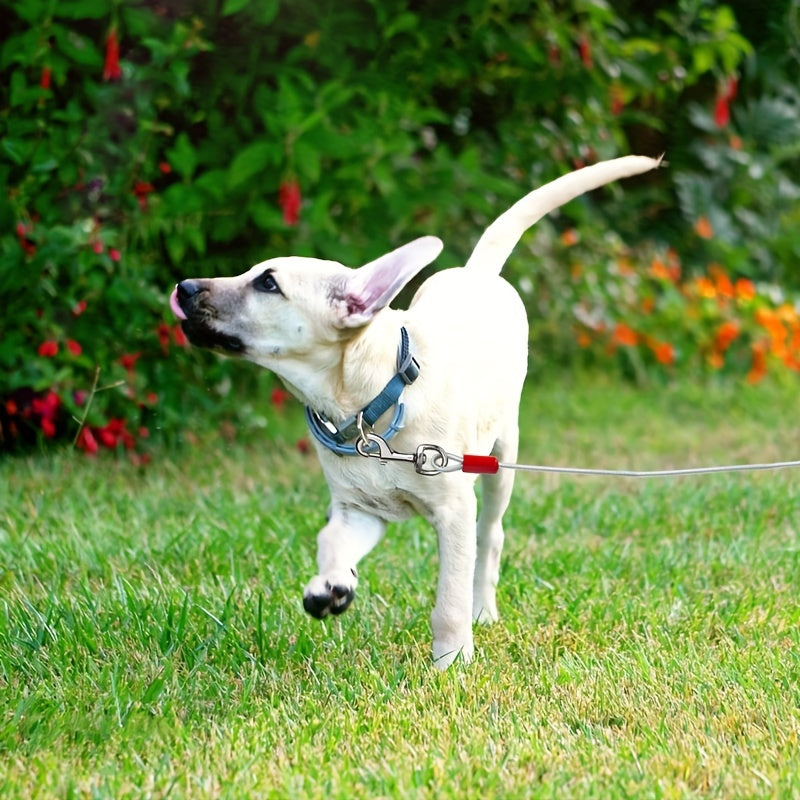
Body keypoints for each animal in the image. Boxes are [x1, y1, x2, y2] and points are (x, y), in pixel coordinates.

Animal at [170, 153, 664, 664]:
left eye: (268, 283)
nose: (183, 286)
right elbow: (332, 539)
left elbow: (449, 597)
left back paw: (483, 610)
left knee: (491, 536)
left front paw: (451, 660)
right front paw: (331, 587)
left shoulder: (454, 509)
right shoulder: (359, 508)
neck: (374, 401)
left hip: (501, 455)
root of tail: (478, 273)